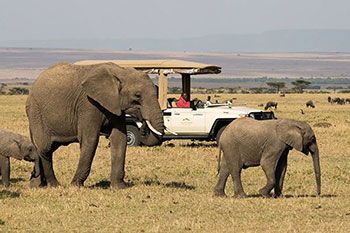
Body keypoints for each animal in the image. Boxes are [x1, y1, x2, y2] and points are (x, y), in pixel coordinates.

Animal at [27, 62, 164, 187]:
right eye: (137, 95)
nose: (143, 122)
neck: (121, 71)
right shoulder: (88, 104)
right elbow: (90, 139)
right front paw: (75, 185)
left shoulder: (115, 105)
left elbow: (120, 138)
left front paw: (119, 187)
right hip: (36, 112)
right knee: (45, 148)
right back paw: (54, 185)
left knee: (44, 148)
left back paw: (37, 184)